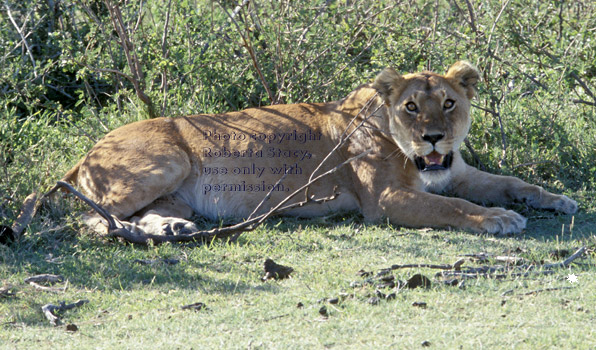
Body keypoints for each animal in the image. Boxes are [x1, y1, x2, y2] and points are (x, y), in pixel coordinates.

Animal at [61, 60, 576, 235]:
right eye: (411, 107)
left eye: (449, 103)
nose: (433, 137)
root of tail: (87, 151)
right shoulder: (386, 201)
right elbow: (453, 208)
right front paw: (498, 219)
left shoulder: (457, 172)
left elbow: (512, 181)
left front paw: (558, 199)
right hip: (166, 160)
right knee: (90, 216)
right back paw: (135, 230)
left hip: (172, 188)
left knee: (143, 213)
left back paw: (171, 227)